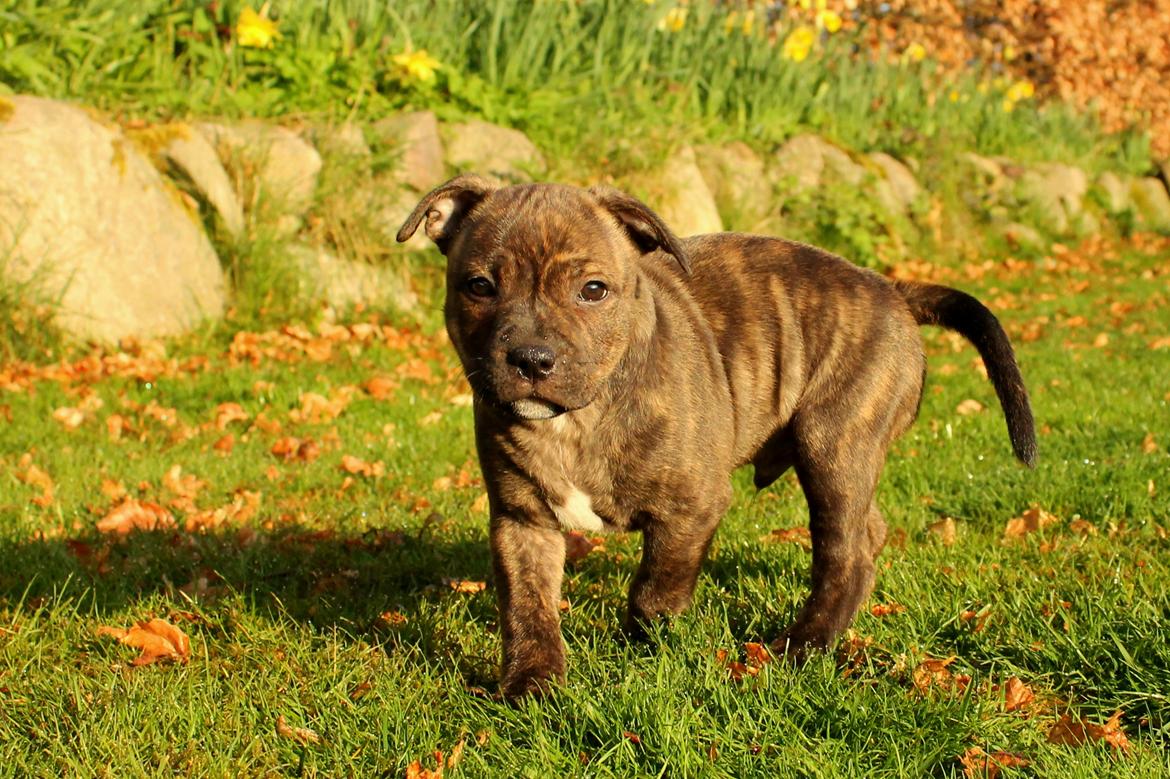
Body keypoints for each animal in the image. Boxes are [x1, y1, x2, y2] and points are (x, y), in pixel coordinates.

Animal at [400, 173, 1034, 692]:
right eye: (480, 286)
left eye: (593, 290)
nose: (532, 358)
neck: (578, 420)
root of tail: (893, 289)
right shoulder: (522, 519)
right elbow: (527, 604)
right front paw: (532, 680)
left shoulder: (692, 508)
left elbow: (656, 588)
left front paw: (645, 649)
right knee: (868, 531)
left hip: (834, 444)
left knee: (846, 551)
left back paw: (800, 647)